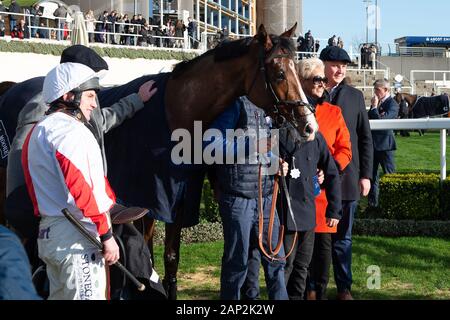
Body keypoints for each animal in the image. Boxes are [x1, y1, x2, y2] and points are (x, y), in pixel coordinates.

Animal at [0, 23, 316, 298]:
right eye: (278, 73)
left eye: (296, 70)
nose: (309, 125)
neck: (176, 112)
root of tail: (11, 87)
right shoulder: (147, 201)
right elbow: (146, 254)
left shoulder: (178, 201)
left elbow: (170, 258)